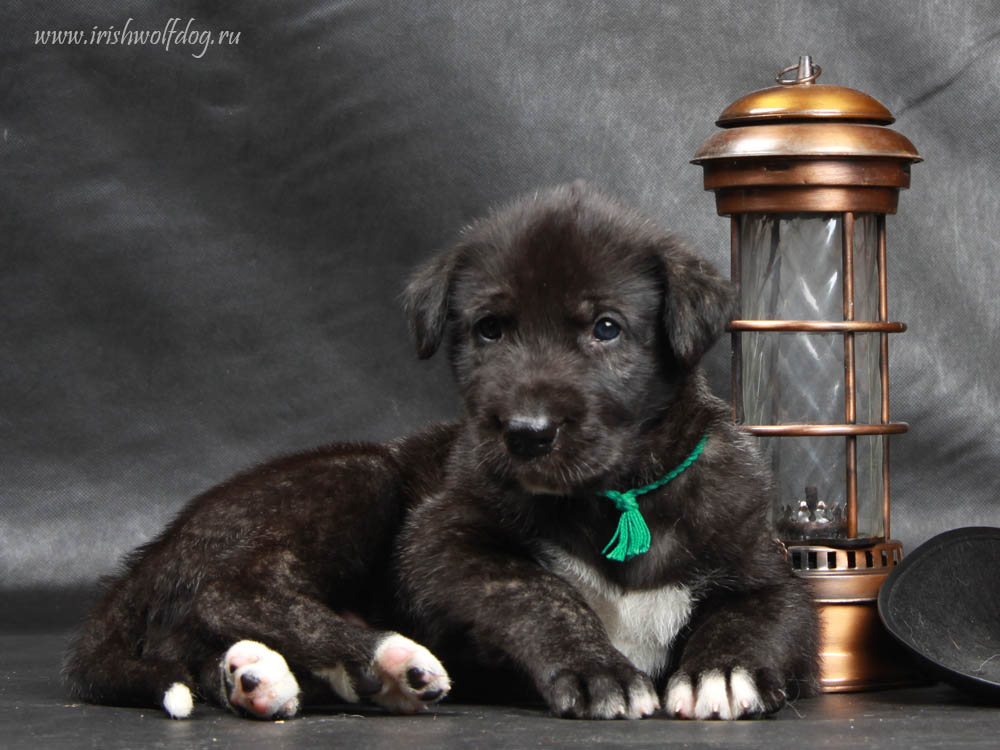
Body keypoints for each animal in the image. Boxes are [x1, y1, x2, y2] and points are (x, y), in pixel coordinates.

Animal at [68, 182, 820, 724]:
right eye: (489, 330)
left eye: (606, 328)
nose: (525, 432)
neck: (616, 497)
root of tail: (145, 559)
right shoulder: (439, 542)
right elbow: (536, 588)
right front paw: (597, 668)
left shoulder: (765, 567)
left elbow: (760, 612)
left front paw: (723, 671)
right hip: (361, 474)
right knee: (225, 592)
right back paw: (384, 658)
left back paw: (261, 679)